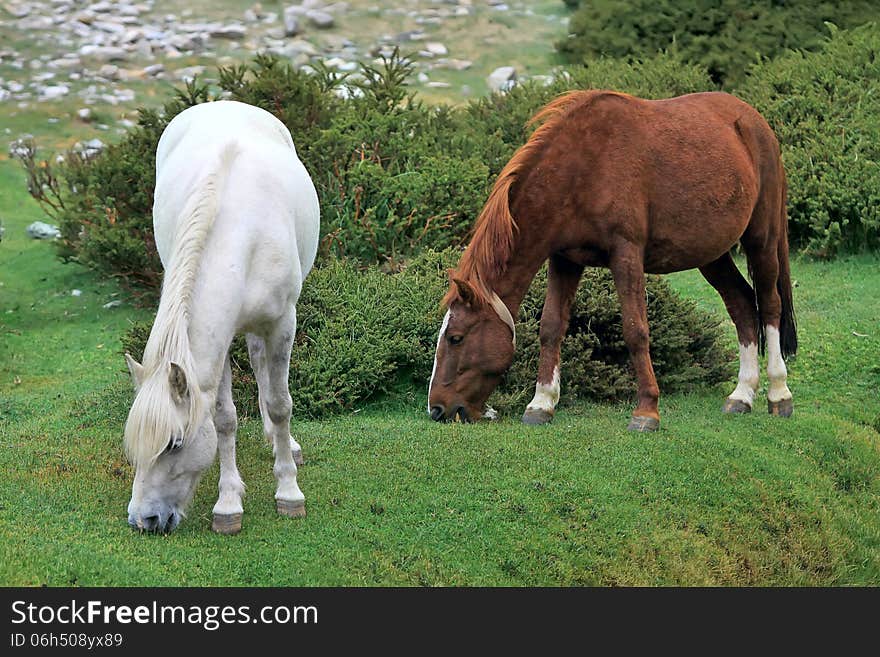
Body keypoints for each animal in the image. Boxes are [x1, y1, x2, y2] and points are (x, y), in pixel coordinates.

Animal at [122, 101, 318, 532]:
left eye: (174, 444)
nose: (144, 520)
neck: (243, 237)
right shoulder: (221, 341)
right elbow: (224, 418)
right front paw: (228, 504)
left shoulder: (283, 324)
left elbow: (281, 404)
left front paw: (289, 492)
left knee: (264, 371)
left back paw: (283, 445)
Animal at [428, 91, 796, 430]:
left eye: (456, 337)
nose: (437, 409)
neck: (583, 169)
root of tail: (754, 122)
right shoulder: (564, 259)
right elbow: (551, 327)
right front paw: (541, 403)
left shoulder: (626, 253)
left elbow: (635, 330)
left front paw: (647, 410)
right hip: (712, 254)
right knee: (743, 305)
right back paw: (741, 395)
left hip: (762, 240)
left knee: (770, 305)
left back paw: (779, 394)